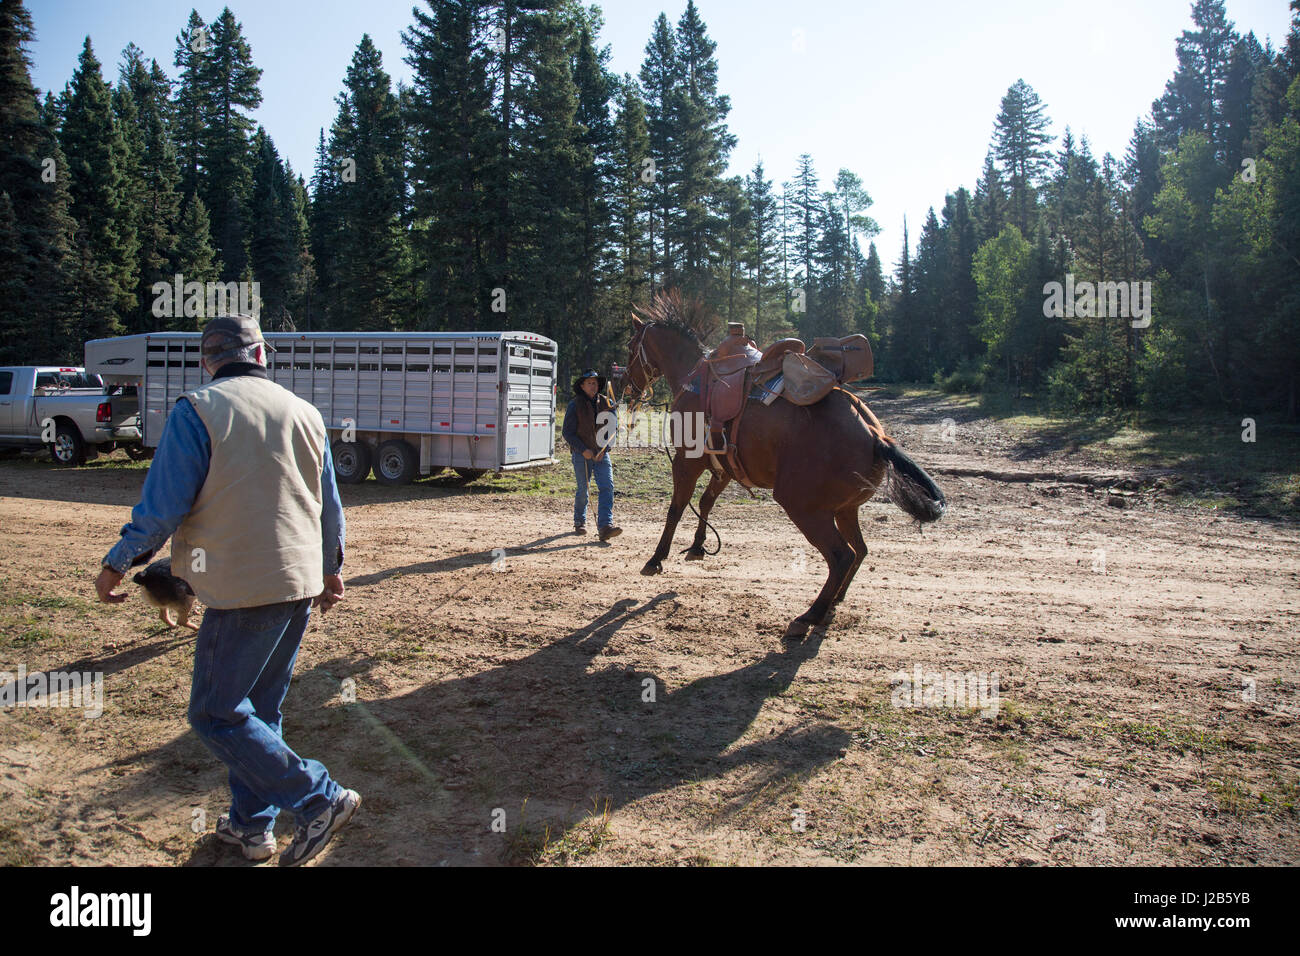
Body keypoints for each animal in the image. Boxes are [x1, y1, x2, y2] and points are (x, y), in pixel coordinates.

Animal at [621, 291, 946, 634]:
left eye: (630, 346)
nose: (628, 382)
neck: (693, 378)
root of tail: (874, 435)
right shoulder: (723, 468)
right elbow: (706, 502)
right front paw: (698, 546)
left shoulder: (687, 461)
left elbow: (677, 508)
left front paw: (656, 559)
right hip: (846, 509)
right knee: (860, 551)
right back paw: (833, 603)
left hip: (803, 507)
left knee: (841, 556)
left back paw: (811, 613)